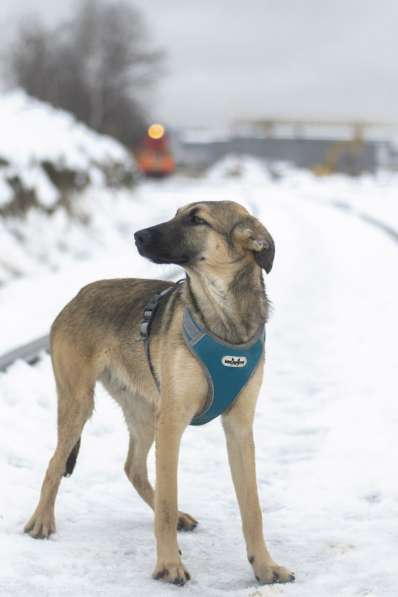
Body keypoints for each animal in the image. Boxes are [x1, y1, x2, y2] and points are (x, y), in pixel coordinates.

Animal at [24, 201, 292, 588]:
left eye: (197, 219)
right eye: (178, 212)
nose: (137, 235)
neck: (222, 317)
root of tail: (80, 294)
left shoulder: (239, 429)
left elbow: (252, 507)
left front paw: (265, 567)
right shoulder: (173, 423)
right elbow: (166, 499)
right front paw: (169, 565)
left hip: (145, 411)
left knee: (133, 467)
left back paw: (179, 516)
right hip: (80, 403)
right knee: (55, 463)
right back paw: (42, 521)